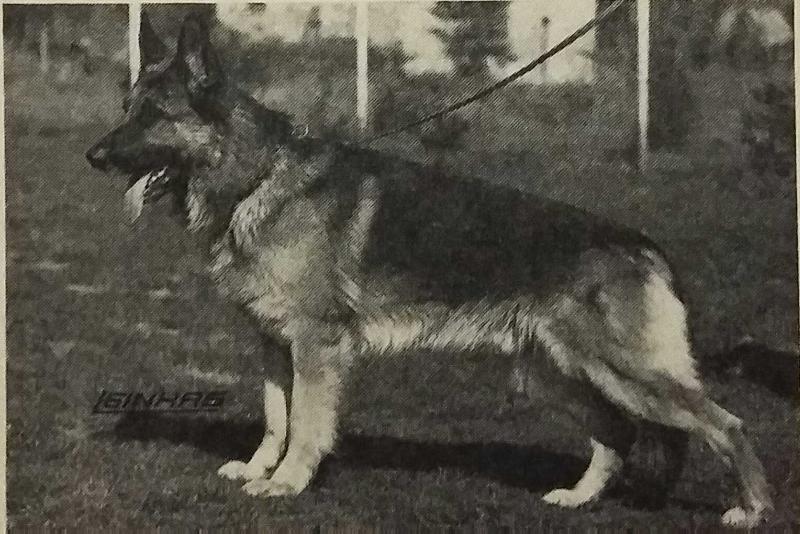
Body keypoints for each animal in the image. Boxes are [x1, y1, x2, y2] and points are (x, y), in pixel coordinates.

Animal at [87, 14, 776, 528]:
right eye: (125, 108)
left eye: (154, 116)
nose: (93, 156)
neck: (254, 180)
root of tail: (645, 245)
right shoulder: (272, 344)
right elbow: (274, 417)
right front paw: (259, 469)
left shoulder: (314, 344)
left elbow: (305, 422)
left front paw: (286, 483)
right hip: (563, 373)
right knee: (618, 437)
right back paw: (578, 499)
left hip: (624, 372)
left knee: (726, 425)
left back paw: (751, 509)